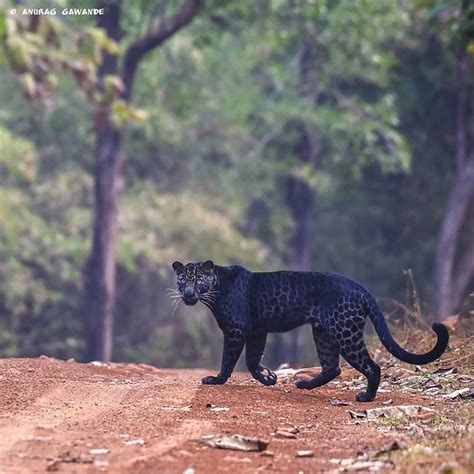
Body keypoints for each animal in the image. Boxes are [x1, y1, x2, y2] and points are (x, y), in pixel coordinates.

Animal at [170, 262, 448, 402]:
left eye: (198, 280)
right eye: (183, 280)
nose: (188, 293)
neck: (216, 289)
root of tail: (360, 288)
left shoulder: (236, 330)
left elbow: (229, 359)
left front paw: (216, 379)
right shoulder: (258, 331)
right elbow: (252, 360)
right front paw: (269, 378)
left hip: (343, 331)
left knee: (371, 366)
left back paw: (365, 397)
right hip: (323, 332)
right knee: (332, 367)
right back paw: (304, 384)